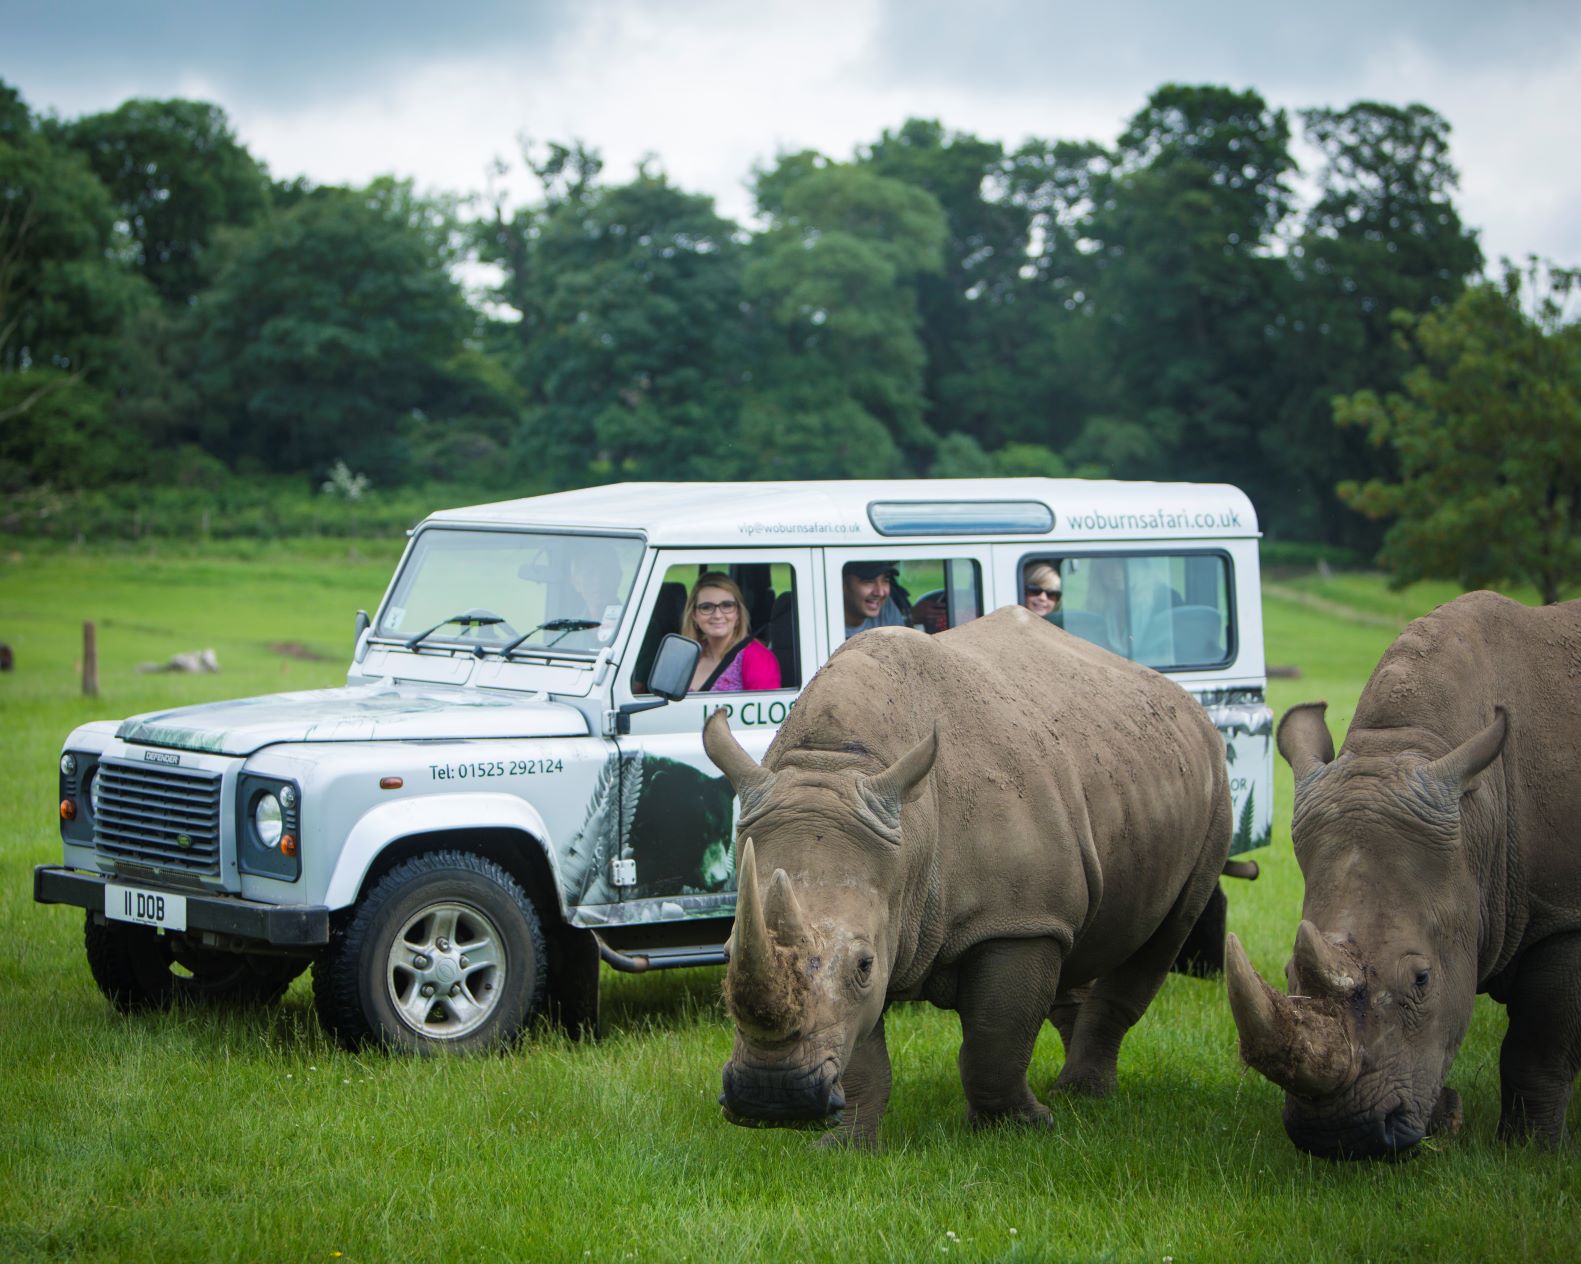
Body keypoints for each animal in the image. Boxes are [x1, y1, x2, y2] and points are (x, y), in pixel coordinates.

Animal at [705, 604, 1233, 1145]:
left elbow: (994, 1040)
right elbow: (861, 1052)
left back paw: (1083, 1095)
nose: (772, 1096)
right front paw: (843, 1147)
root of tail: (1181, 699)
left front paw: (1022, 1128)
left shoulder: (1018, 920)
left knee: (1166, 931)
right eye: (724, 954)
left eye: (864, 965)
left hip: (1214, 787)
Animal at [1226, 591, 1581, 1158]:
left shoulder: (1564, 914)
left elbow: (1539, 1048)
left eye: (1422, 978)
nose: (1339, 1137)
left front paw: (1531, 1151)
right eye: (1285, 971)